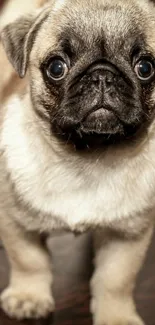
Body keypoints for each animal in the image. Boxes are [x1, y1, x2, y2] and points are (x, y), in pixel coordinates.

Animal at [0, 0, 155, 322]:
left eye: (146, 67)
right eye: (56, 68)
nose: (102, 76)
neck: (87, 158)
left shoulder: (128, 235)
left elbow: (117, 279)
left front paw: (116, 316)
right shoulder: (16, 223)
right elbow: (28, 261)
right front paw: (28, 297)